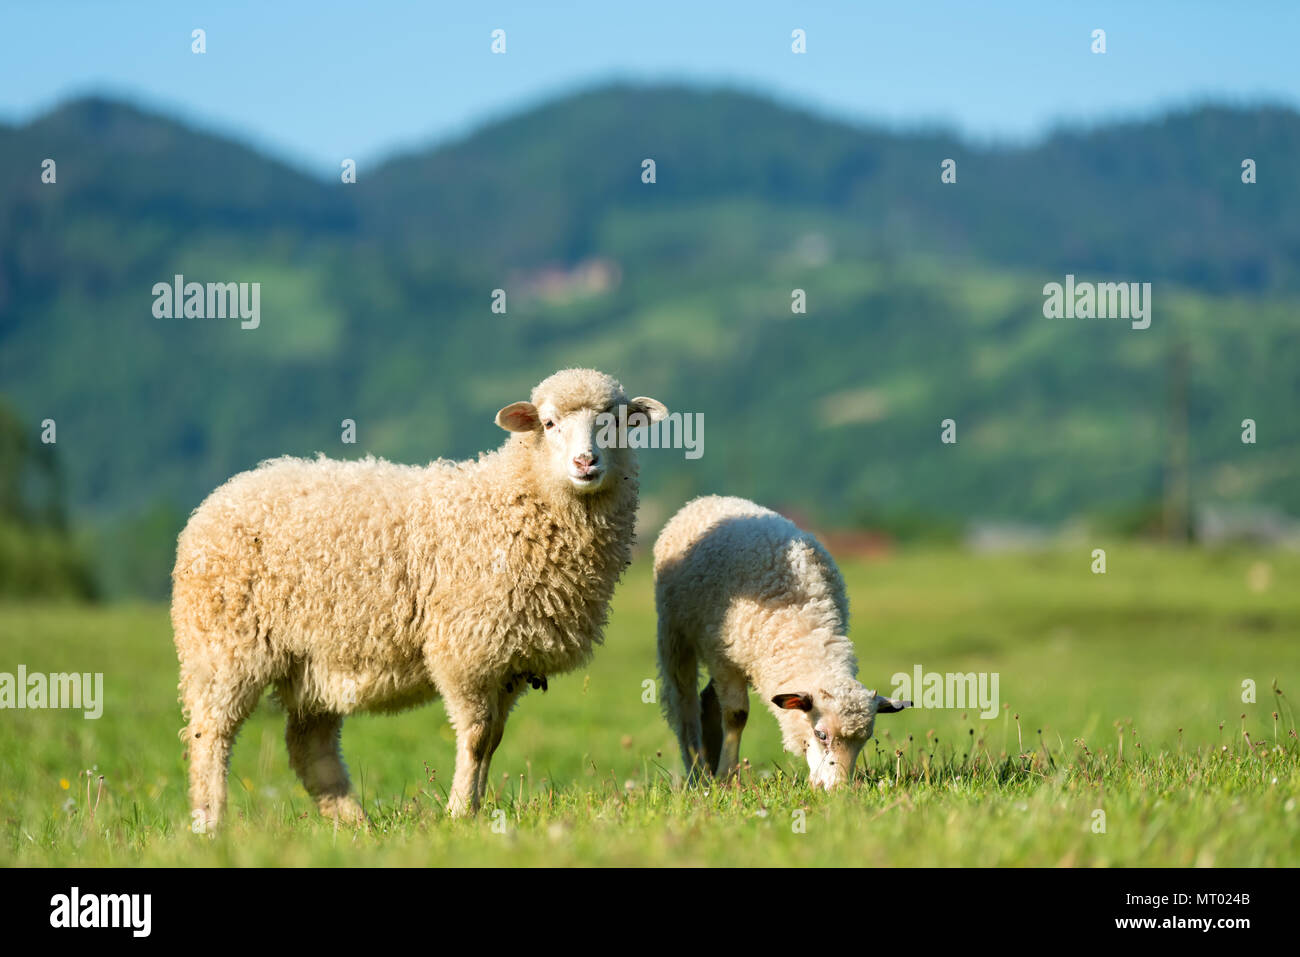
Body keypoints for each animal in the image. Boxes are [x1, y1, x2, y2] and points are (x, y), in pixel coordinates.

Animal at [171, 368, 667, 828]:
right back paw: (210, 824)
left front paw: (475, 808)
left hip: (314, 660)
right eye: (548, 423)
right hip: (223, 645)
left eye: (616, 422)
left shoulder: (509, 661)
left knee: (309, 748)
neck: (514, 500)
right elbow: (477, 738)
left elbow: (494, 739)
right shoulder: (466, 651)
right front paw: (458, 813)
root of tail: (221, 497)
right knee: (209, 735)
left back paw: (356, 826)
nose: (586, 462)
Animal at [653, 495, 910, 789]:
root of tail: (706, 500)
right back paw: (697, 771)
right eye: (821, 735)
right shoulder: (724, 659)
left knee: (707, 699)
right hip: (675, 632)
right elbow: (736, 715)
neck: (803, 624)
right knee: (683, 703)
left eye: (865, 740)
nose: (837, 790)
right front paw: (728, 777)